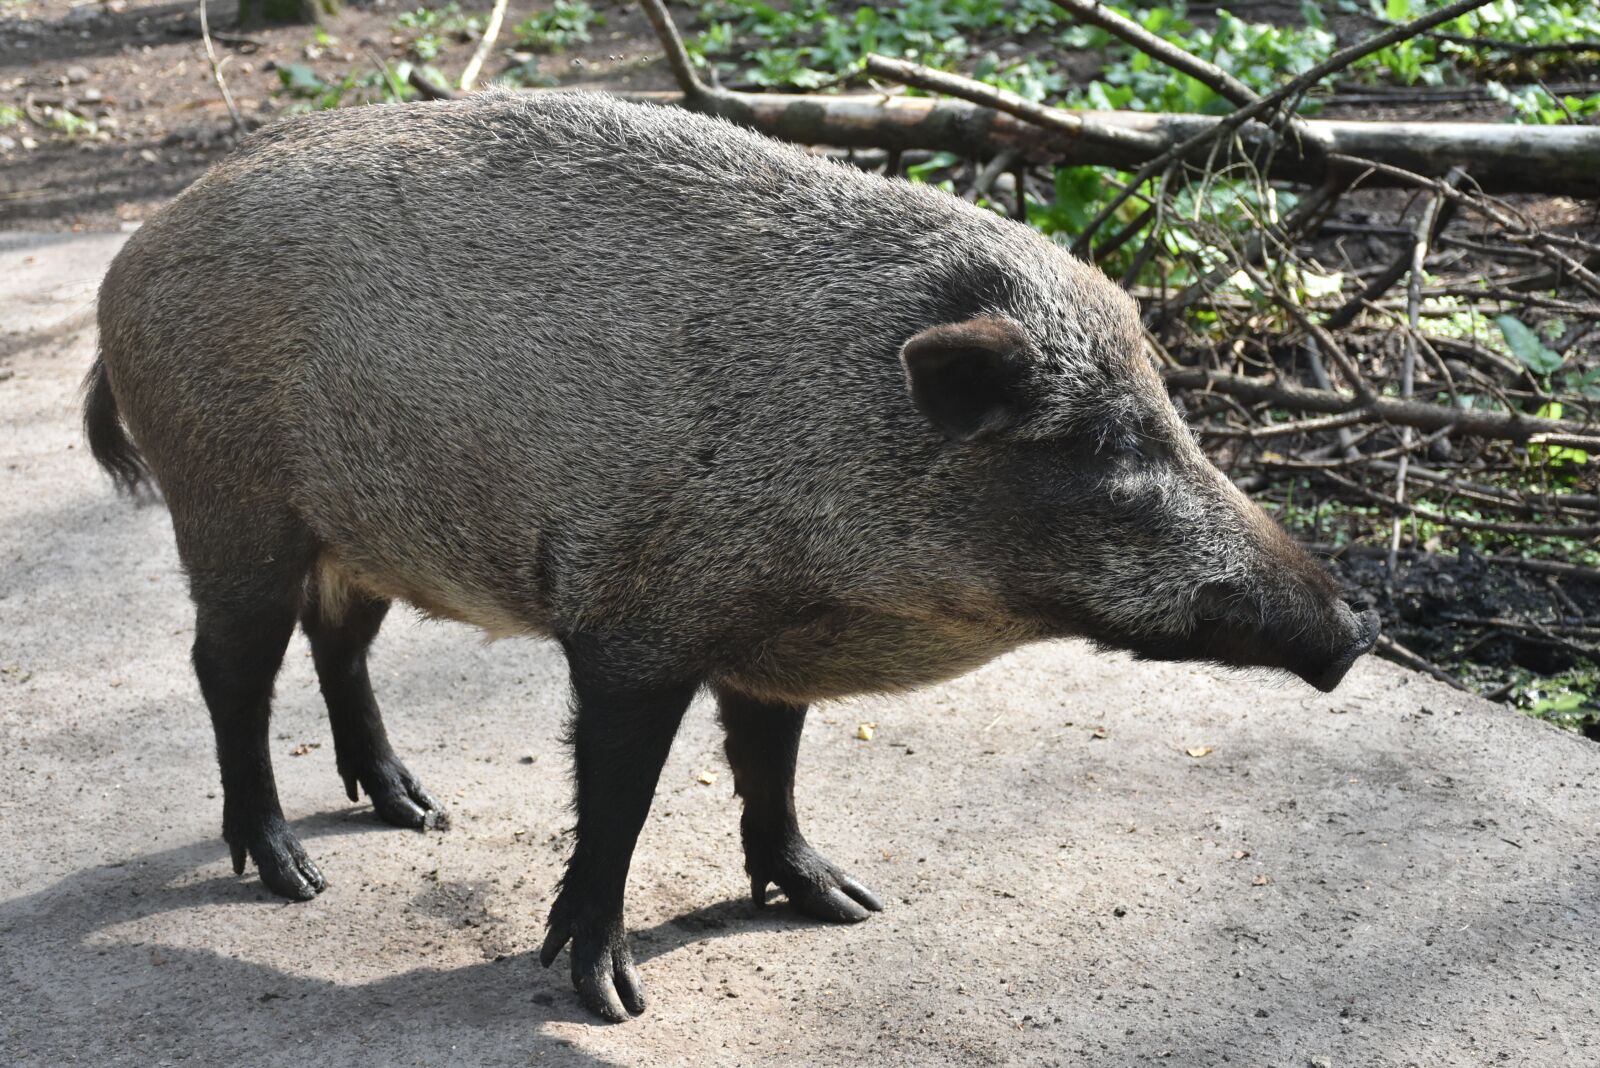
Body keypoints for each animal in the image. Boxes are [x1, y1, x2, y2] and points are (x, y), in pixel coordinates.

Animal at [85, 90, 1378, 1022]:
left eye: (1169, 412)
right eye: (1106, 440)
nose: (1356, 624)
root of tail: (129, 260)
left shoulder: (771, 643)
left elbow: (773, 768)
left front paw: (846, 905)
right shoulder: (633, 627)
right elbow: (620, 801)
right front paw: (609, 999)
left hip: (360, 534)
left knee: (338, 643)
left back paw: (418, 814)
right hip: (230, 505)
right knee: (229, 669)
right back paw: (290, 874)